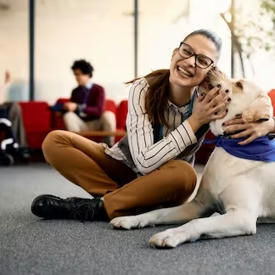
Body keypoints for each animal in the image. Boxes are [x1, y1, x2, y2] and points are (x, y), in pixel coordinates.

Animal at [110, 68, 275, 248]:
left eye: (239, 84)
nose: (213, 68)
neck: (229, 143)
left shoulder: (242, 215)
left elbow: (197, 223)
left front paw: (169, 235)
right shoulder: (199, 205)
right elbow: (158, 212)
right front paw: (132, 219)